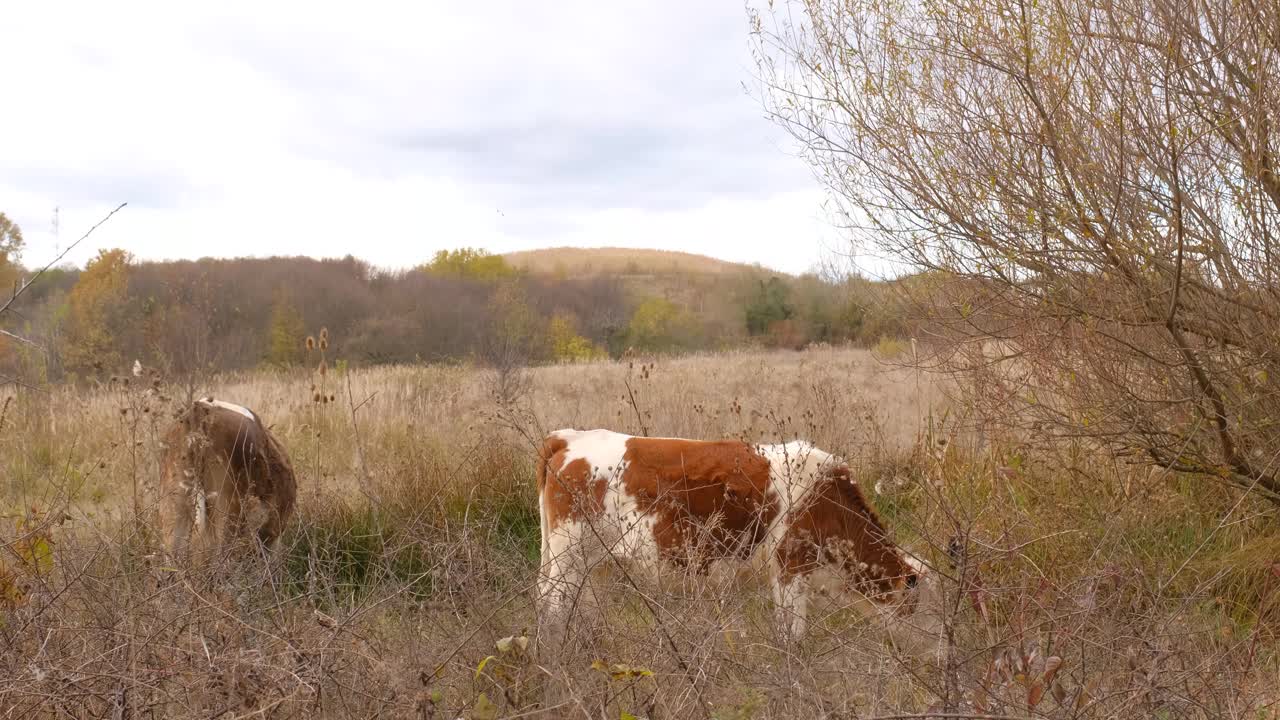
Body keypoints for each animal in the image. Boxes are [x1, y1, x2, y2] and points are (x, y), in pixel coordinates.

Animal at [535, 425, 947, 645]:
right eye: (922, 606)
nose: (938, 652)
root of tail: (569, 438)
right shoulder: (790, 566)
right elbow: (793, 631)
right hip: (569, 558)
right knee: (554, 605)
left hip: (590, 564)